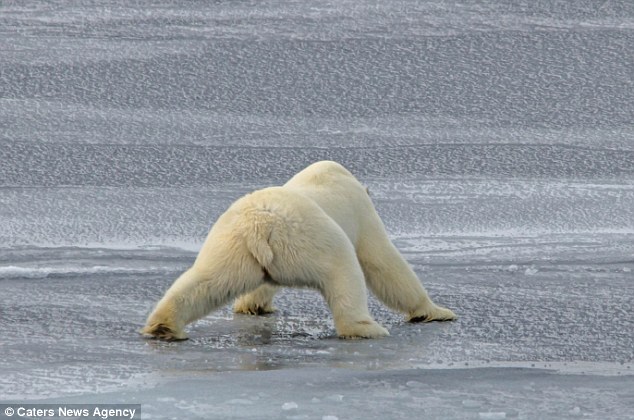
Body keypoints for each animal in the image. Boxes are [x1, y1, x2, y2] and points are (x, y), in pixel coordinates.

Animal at [143, 161, 454, 342]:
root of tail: (261, 226)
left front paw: (256, 305)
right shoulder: (362, 214)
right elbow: (383, 262)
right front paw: (436, 311)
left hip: (232, 246)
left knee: (206, 282)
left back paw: (164, 327)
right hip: (311, 241)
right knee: (344, 271)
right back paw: (367, 328)